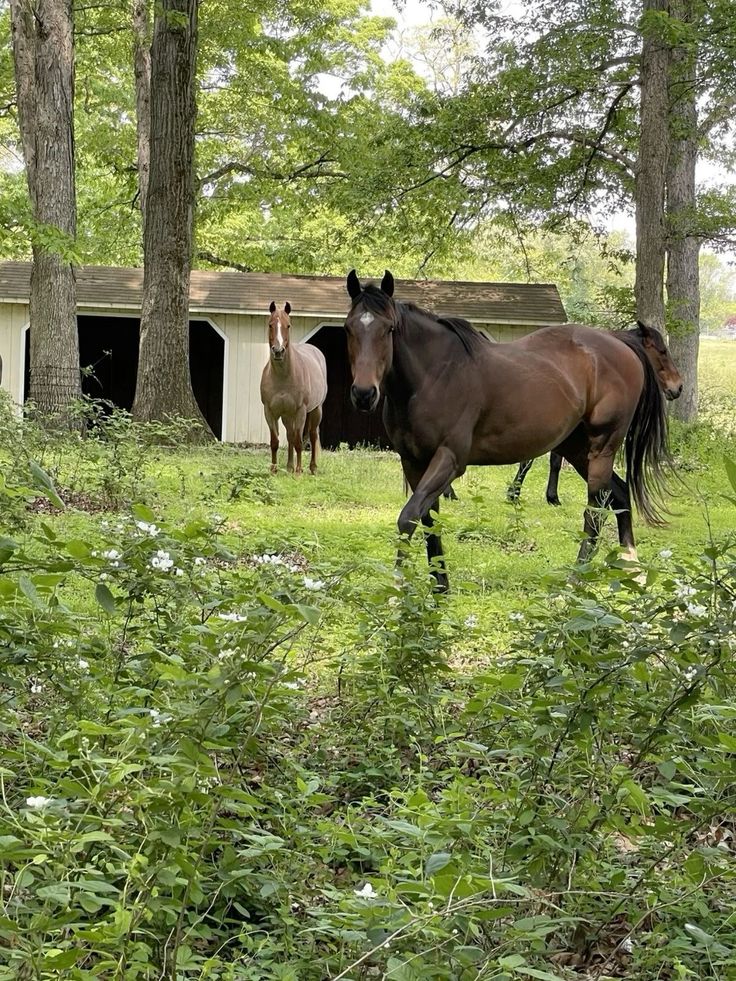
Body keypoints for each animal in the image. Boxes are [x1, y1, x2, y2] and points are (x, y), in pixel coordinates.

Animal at [260, 302, 326, 478]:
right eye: (270, 324)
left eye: (288, 325)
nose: (278, 351)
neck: (283, 377)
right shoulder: (270, 412)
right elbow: (275, 442)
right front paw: (274, 470)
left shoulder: (300, 411)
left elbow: (298, 442)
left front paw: (298, 472)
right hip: (287, 416)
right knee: (289, 435)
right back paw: (289, 466)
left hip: (316, 410)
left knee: (313, 435)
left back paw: (312, 468)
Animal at [506, 326, 684, 506]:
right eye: (663, 352)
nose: (678, 387)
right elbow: (530, 461)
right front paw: (515, 493)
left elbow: (553, 462)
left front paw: (549, 496)